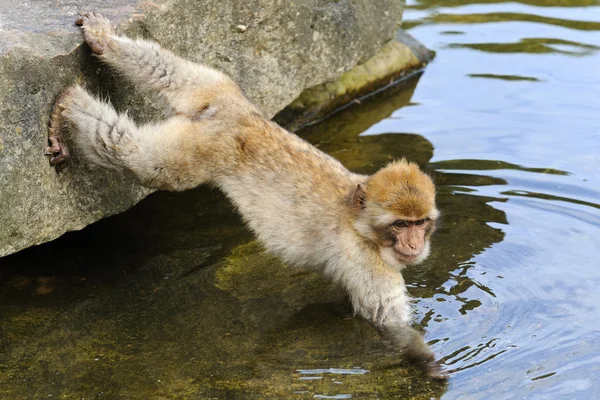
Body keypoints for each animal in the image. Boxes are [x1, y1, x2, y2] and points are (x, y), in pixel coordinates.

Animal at [44, 12, 446, 380]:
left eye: (420, 223)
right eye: (400, 225)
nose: (414, 244)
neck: (358, 219)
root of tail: (237, 119)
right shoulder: (368, 263)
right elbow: (387, 323)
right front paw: (429, 365)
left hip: (220, 92)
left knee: (172, 73)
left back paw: (104, 45)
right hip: (202, 151)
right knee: (141, 160)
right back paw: (69, 103)